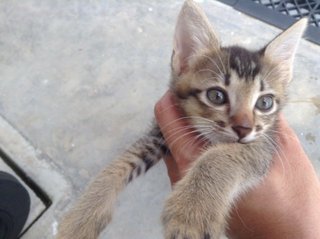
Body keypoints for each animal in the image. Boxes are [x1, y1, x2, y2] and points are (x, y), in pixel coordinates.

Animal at [57, 0, 308, 238]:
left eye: (265, 103)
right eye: (216, 96)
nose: (243, 128)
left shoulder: (266, 142)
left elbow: (220, 156)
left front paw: (192, 212)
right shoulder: (161, 133)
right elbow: (122, 161)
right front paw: (81, 217)